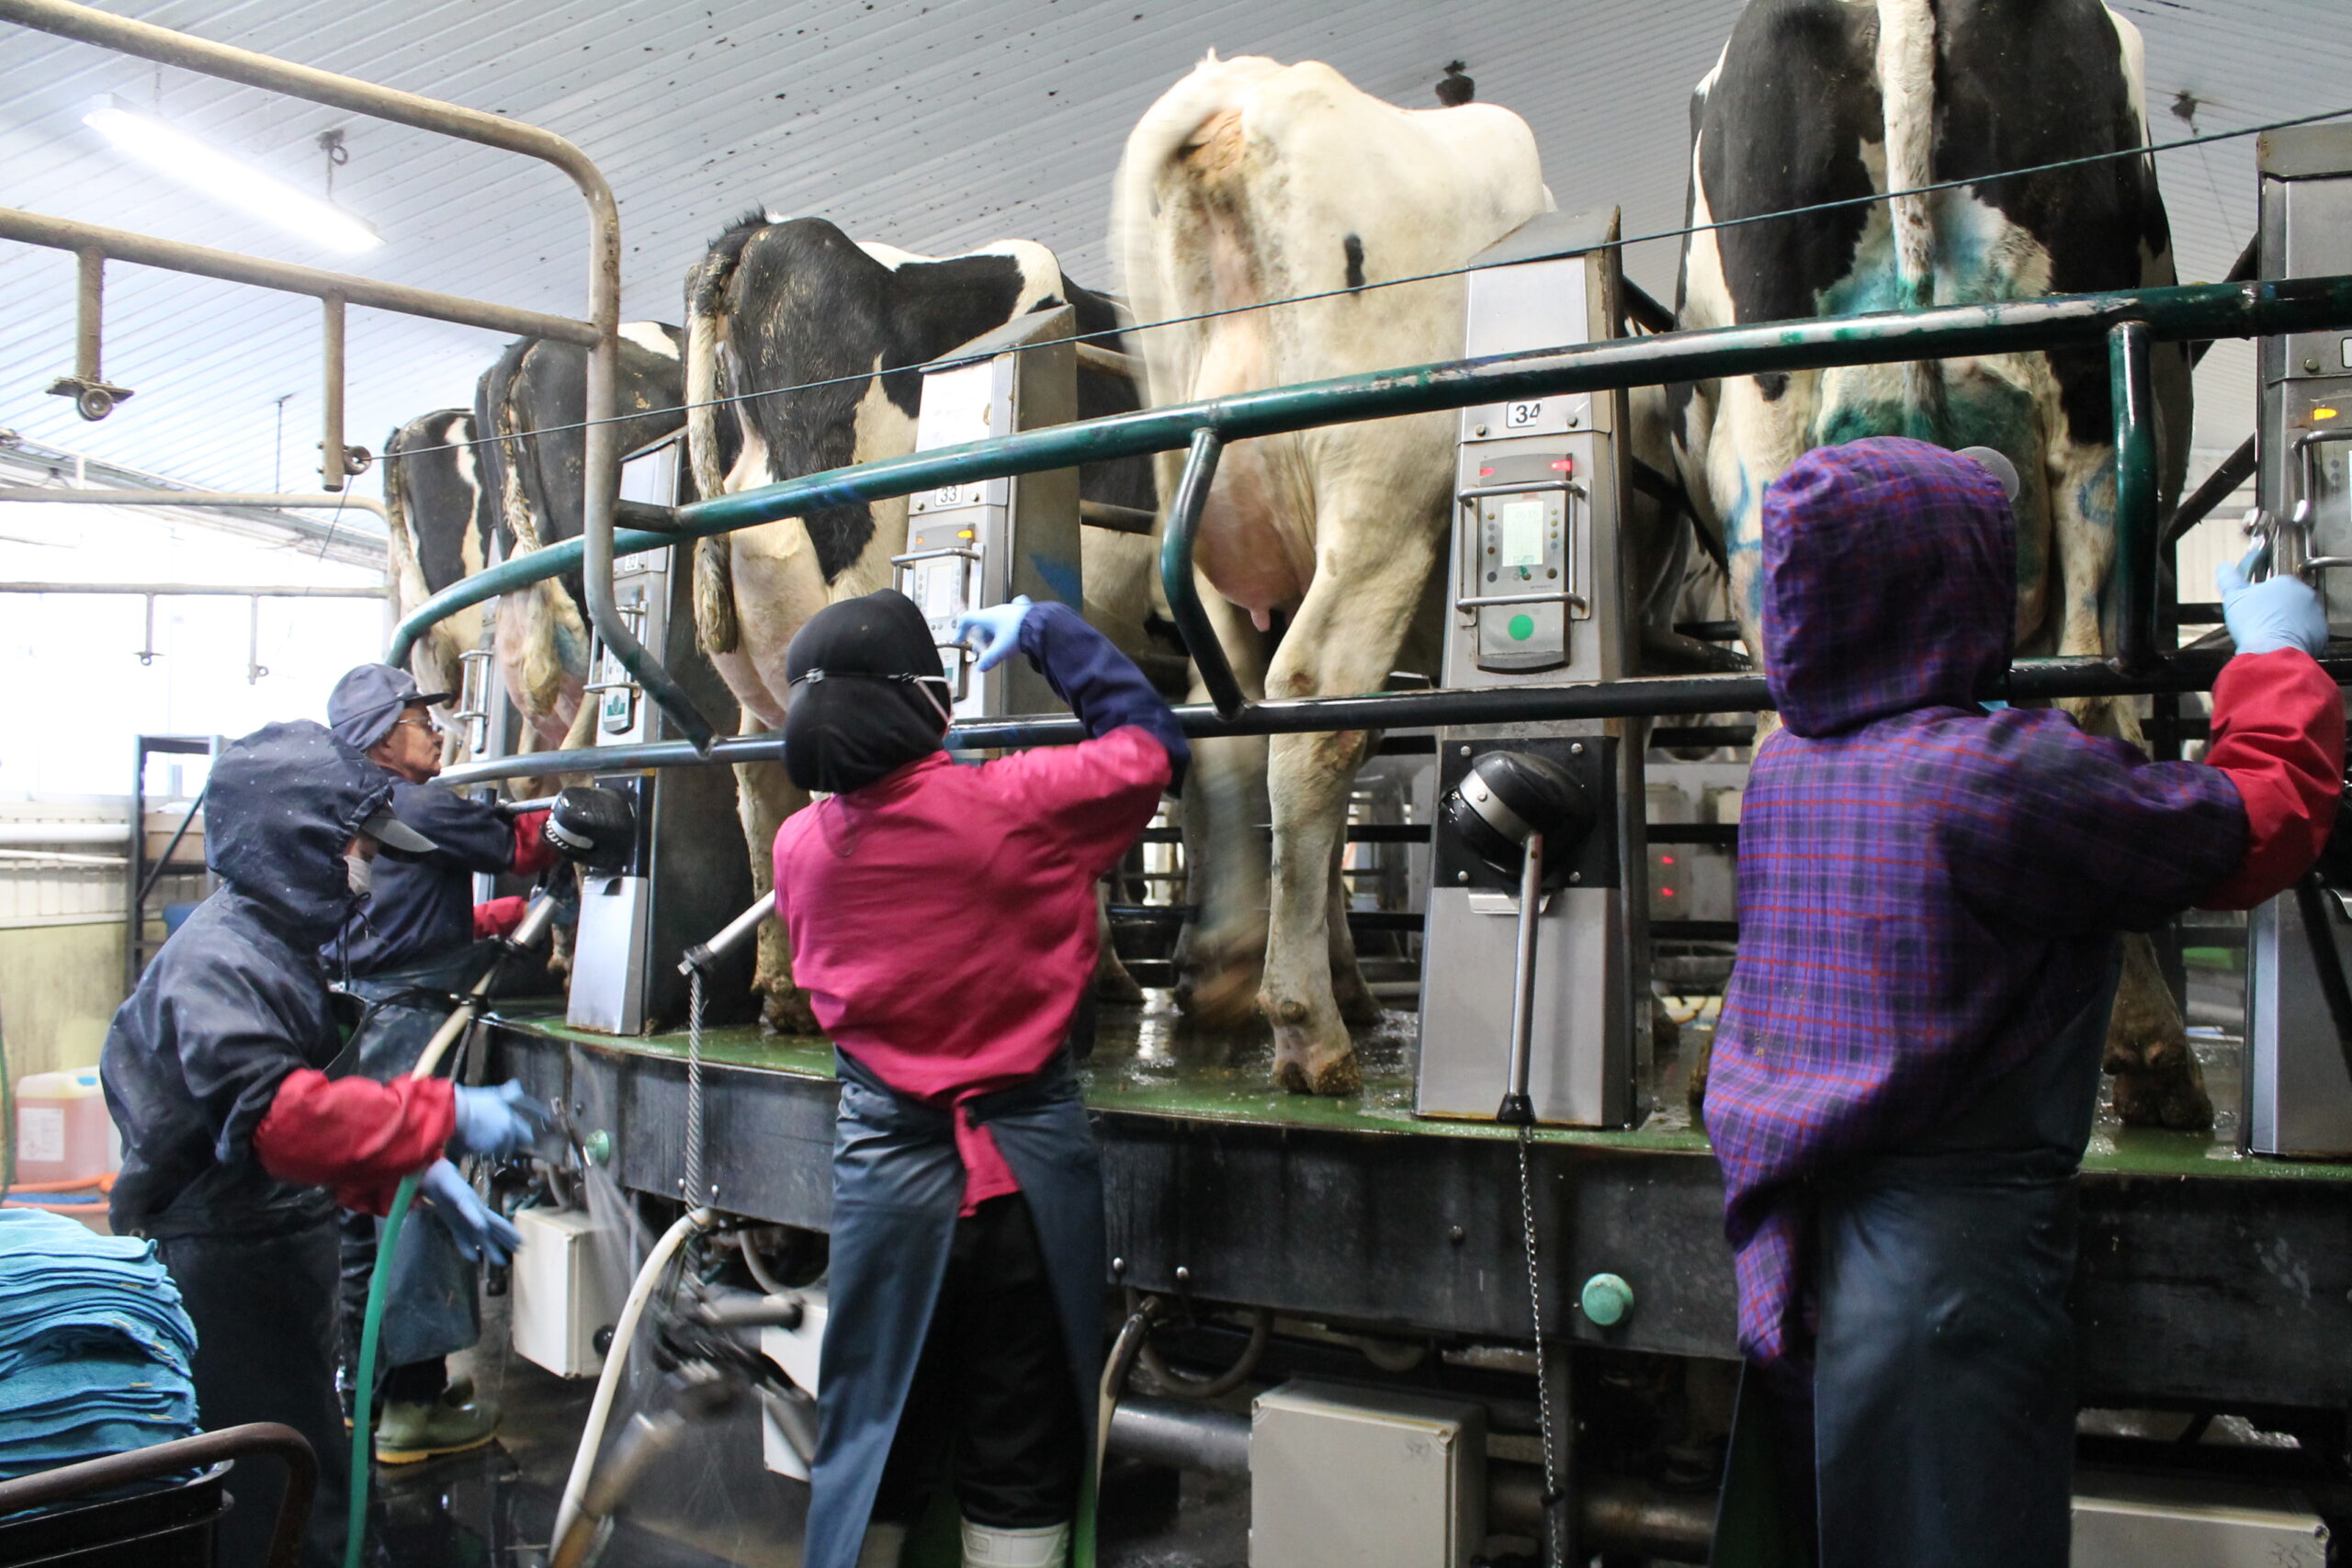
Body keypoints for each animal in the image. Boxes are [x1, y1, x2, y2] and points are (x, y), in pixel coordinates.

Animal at [1114, 53, 1552, 1093]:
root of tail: (1240, 88)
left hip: (1220, 534)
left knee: (1238, 724)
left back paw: (1243, 980)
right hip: (1378, 498)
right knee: (1317, 708)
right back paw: (1309, 1028)